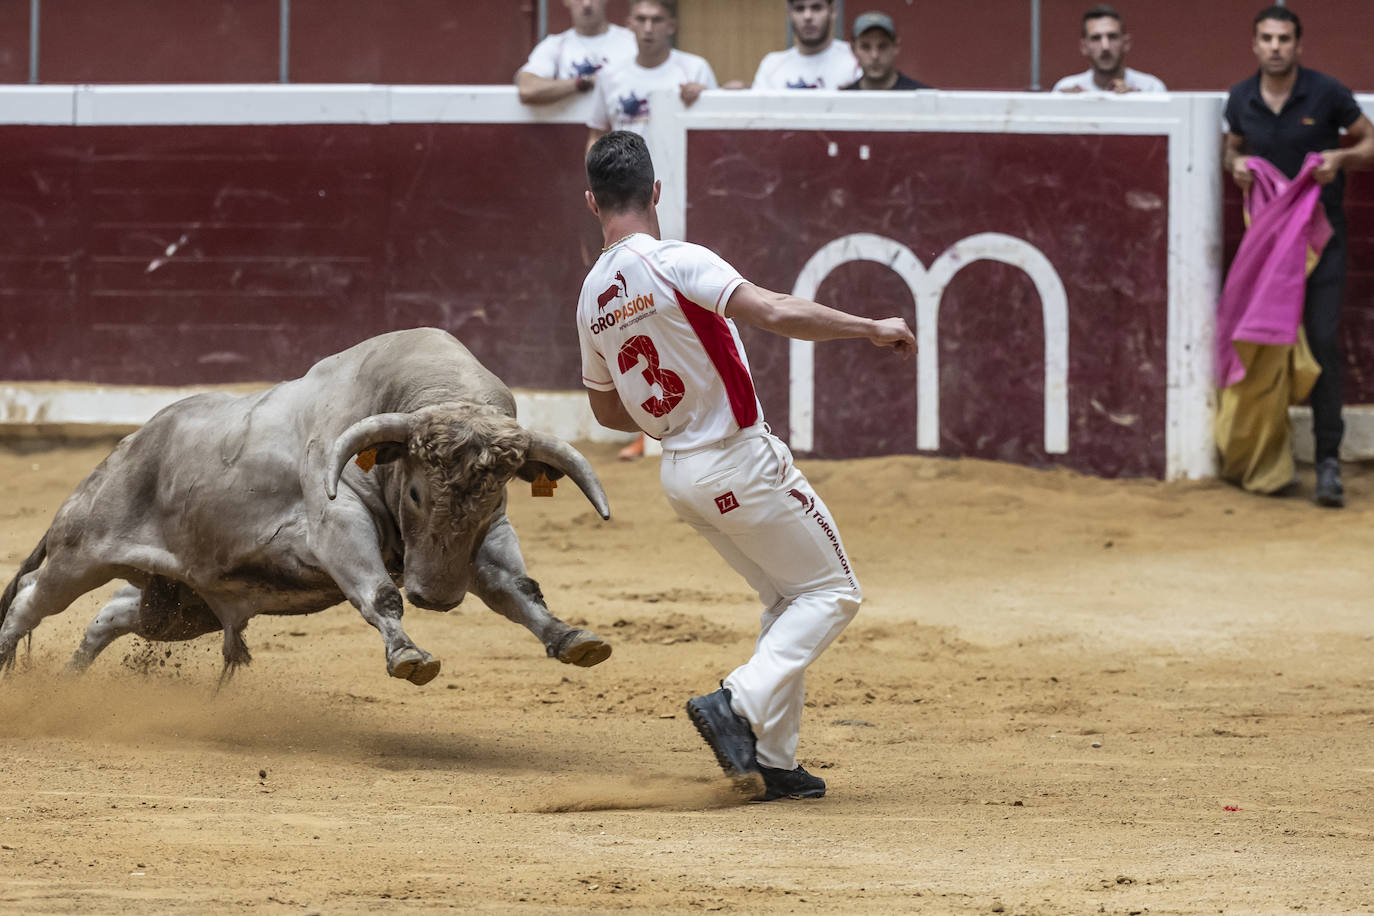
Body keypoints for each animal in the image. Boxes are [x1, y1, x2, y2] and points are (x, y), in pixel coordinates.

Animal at [0, 325, 612, 683]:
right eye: (416, 492)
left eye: (492, 499)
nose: (436, 597)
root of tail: (129, 443)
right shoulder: (338, 522)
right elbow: (380, 594)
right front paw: (409, 656)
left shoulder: (490, 535)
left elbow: (519, 588)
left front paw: (574, 639)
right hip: (82, 550)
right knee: (32, 596)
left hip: (178, 605)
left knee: (110, 615)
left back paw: (70, 679)